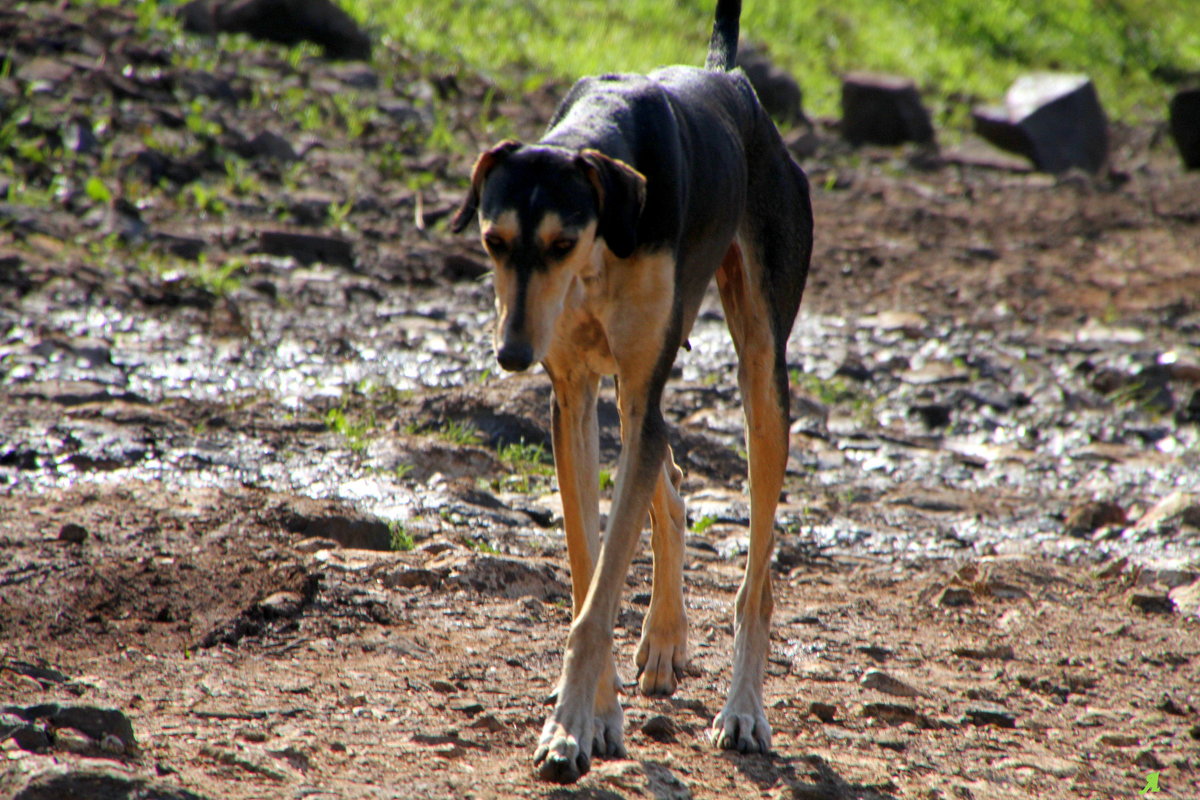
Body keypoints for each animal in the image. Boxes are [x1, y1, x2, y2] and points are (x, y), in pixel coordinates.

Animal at [451, 0, 816, 786]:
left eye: (561, 244)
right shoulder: (573, 395)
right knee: (668, 483)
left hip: (759, 376)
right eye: (494, 240)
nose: (512, 354)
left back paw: (743, 710)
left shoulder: (640, 381)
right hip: (622, 387)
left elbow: (601, 592)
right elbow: (590, 571)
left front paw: (567, 730)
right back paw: (665, 638)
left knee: (756, 579)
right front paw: (595, 718)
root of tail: (729, 77)